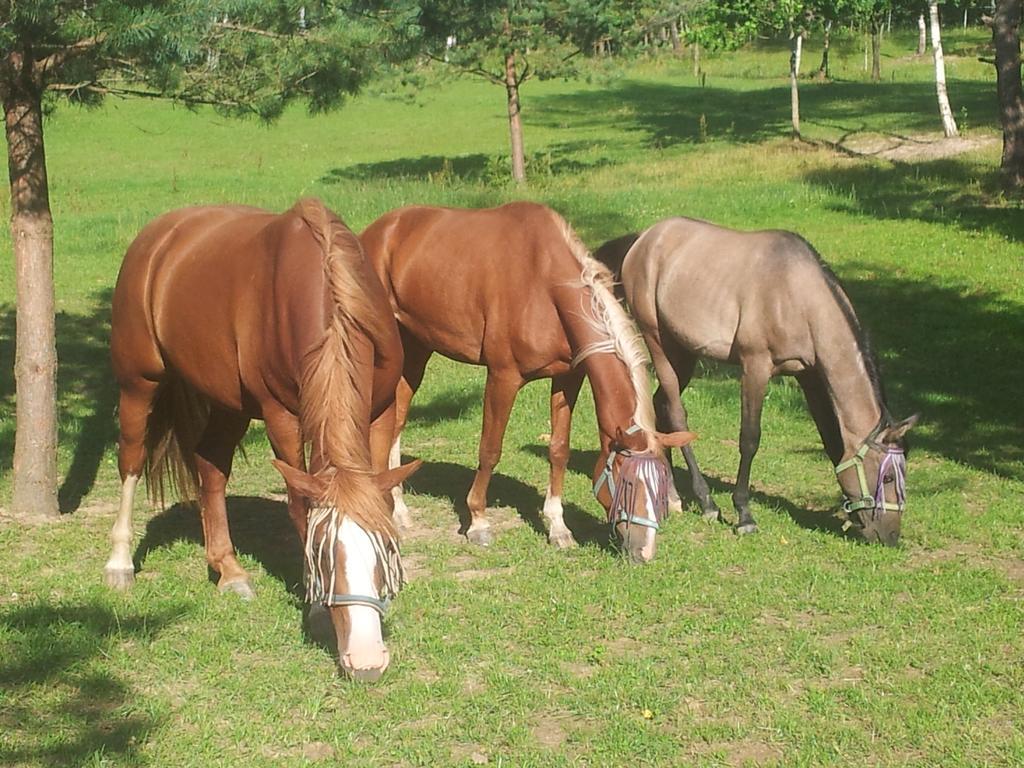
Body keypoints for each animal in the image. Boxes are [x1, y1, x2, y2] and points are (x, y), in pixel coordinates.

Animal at [104, 198, 419, 679]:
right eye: (322, 558)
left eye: (385, 551)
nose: (366, 662)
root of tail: (157, 237)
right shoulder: (281, 417)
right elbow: (300, 507)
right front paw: (315, 609)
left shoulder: (379, 410)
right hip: (139, 382)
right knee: (132, 460)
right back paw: (120, 563)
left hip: (228, 402)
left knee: (210, 466)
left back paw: (229, 571)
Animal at [362, 202, 696, 565]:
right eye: (628, 481)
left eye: (663, 485)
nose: (644, 552)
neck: (545, 285)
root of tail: (377, 231)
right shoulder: (503, 377)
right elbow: (490, 450)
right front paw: (478, 523)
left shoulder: (568, 377)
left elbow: (559, 449)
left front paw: (558, 528)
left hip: (416, 349)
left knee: (397, 421)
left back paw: (399, 510)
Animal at [598, 217, 917, 548]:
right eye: (888, 477)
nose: (891, 535)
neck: (797, 296)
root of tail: (644, 238)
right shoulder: (755, 367)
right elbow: (749, 439)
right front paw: (744, 515)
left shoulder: (809, 377)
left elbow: (831, 440)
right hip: (658, 341)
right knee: (675, 413)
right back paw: (703, 501)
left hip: (683, 351)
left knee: (661, 405)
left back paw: (671, 492)